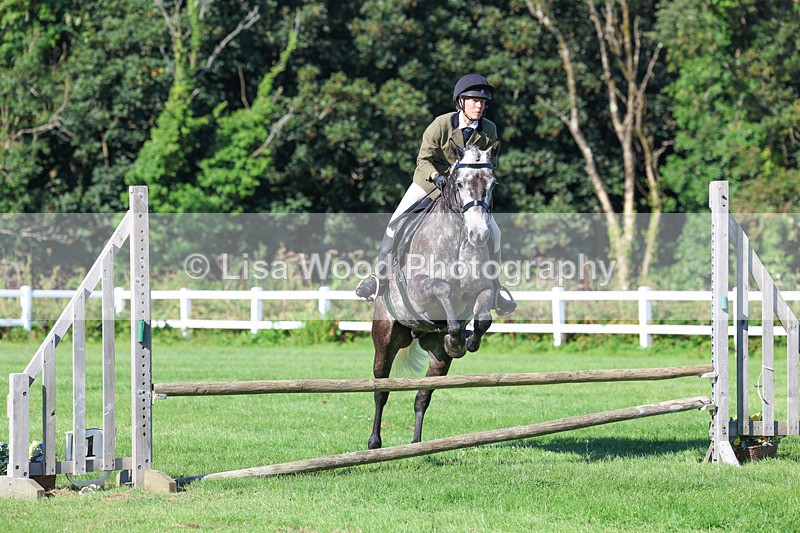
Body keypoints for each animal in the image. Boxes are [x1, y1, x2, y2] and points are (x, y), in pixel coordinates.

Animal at [368, 140, 500, 450]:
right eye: (460, 183)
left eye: (492, 184)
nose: (479, 234)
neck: (459, 239)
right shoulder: (420, 289)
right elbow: (442, 288)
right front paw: (457, 337)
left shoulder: (484, 289)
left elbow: (483, 319)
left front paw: (464, 341)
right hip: (385, 337)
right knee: (381, 389)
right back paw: (375, 442)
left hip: (436, 356)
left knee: (422, 397)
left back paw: (417, 444)